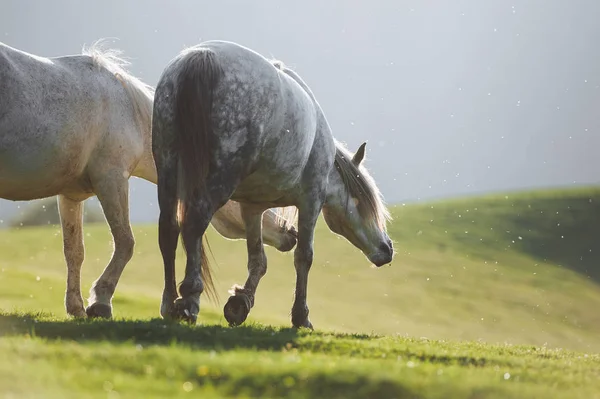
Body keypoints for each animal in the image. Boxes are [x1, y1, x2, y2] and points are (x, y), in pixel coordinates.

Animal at [0, 41, 298, 318]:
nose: (291, 233)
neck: (127, 111)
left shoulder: (71, 196)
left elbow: (74, 251)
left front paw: (76, 307)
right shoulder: (112, 179)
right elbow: (125, 243)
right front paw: (101, 301)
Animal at [152, 39, 394, 328]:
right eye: (362, 203)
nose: (387, 248)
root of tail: (201, 57)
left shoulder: (252, 207)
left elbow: (258, 260)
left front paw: (240, 303)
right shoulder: (311, 200)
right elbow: (304, 256)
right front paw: (301, 316)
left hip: (168, 170)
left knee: (168, 230)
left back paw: (169, 303)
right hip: (218, 181)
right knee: (193, 225)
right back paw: (189, 299)